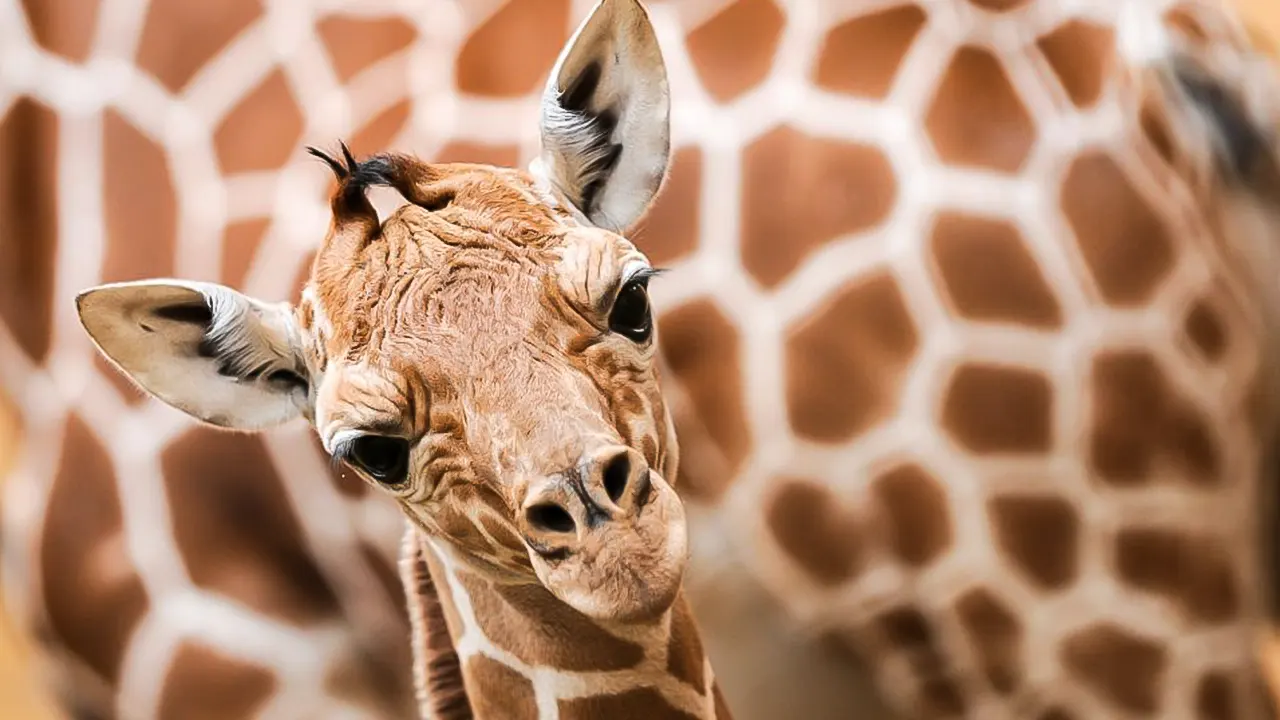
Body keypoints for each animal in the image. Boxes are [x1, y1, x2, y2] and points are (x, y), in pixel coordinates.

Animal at [2, 1, 1280, 717]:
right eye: (367, 449)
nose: (606, 528)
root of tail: (1162, 67)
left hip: (1081, 610)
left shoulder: (206, 644)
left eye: (634, 298)